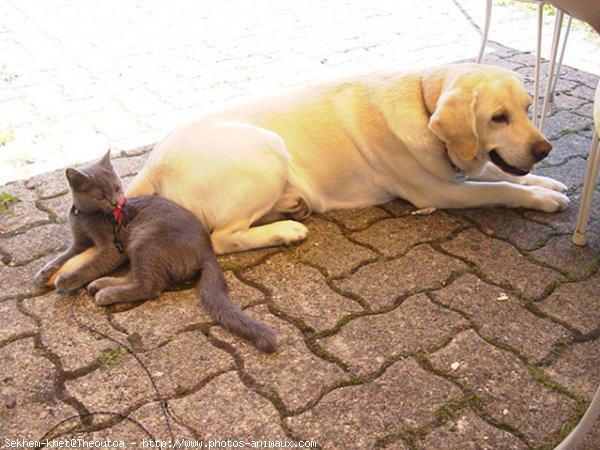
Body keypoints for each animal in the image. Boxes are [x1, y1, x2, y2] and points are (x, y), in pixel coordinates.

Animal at [37, 153, 278, 354]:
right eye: (100, 195)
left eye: (116, 188)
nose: (116, 202)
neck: (85, 216)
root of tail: (207, 251)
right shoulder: (78, 244)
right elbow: (61, 258)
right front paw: (42, 274)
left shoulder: (112, 248)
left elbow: (89, 266)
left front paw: (66, 279)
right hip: (139, 247)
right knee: (137, 277)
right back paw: (101, 285)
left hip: (145, 241)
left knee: (149, 286)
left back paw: (106, 294)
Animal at [47, 62, 568, 280]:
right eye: (497, 117)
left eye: (527, 108)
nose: (545, 148)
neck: (423, 100)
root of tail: (156, 158)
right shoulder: (438, 191)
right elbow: (502, 187)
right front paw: (542, 197)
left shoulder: (458, 173)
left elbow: (506, 174)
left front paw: (549, 180)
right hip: (266, 150)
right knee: (221, 237)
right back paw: (286, 229)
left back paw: (290, 207)